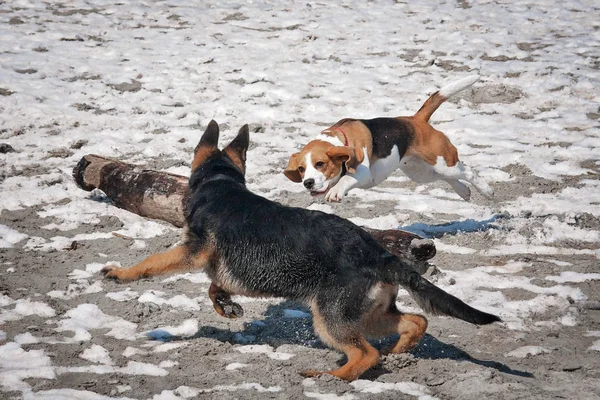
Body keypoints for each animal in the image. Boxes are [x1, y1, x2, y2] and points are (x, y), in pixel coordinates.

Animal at [101, 121, 500, 382]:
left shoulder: (192, 251)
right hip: (365, 314)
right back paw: (398, 353)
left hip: (329, 319)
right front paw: (226, 305)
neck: (220, 181)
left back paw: (328, 377)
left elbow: (153, 262)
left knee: (365, 353)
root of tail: (378, 252)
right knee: (415, 322)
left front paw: (120, 274)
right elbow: (216, 285)